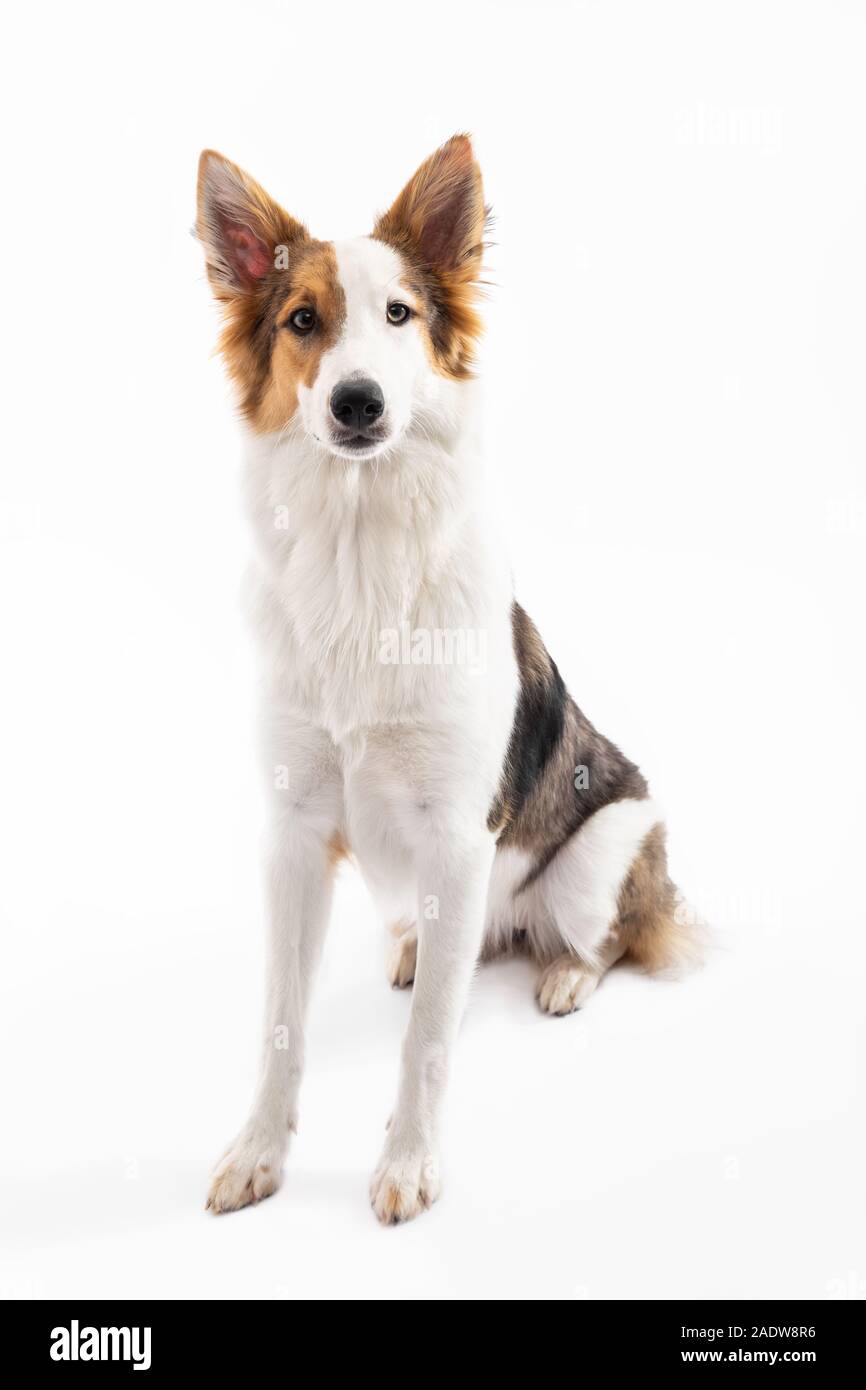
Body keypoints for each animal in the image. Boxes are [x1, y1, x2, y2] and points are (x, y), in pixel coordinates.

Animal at [195, 130, 697, 1217]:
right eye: (302, 320)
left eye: (400, 315)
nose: (358, 401)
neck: (356, 557)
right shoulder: (293, 833)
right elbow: (281, 1020)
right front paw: (257, 1150)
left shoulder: (460, 834)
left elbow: (427, 1037)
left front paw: (408, 1164)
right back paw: (426, 949)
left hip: (604, 846)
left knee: (604, 935)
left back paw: (562, 972)